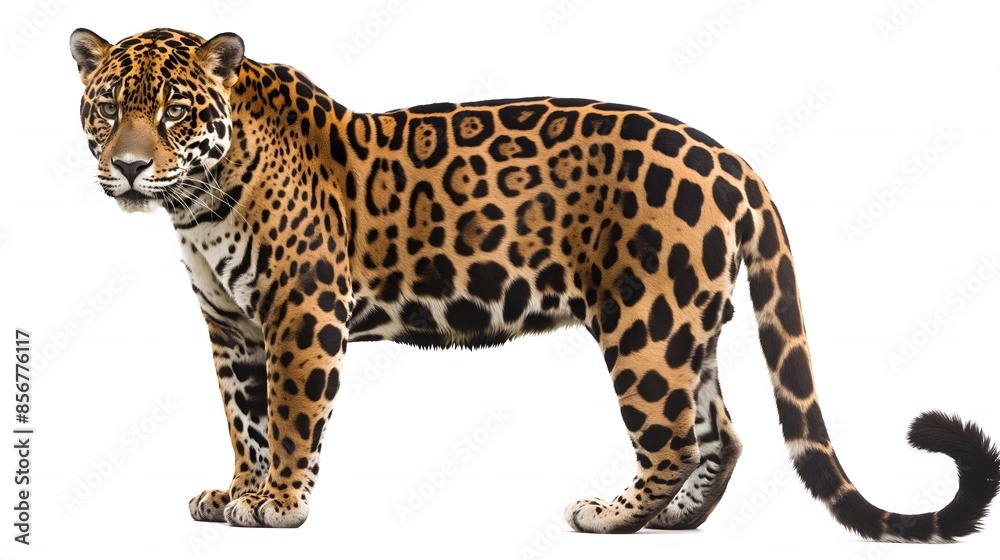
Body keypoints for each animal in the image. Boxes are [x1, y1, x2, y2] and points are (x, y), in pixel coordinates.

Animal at [70, 28, 999, 539]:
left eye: (176, 112)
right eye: (107, 107)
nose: (128, 168)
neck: (199, 197)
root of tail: (731, 160)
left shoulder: (301, 313)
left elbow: (293, 419)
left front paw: (282, 504)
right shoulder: (232, 327)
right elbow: (245, 421)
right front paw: (238, 492)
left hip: (646, 323)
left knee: (674, 436)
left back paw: (612, 517)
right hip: (688, 321)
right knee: (723, 432)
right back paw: (678, 521)